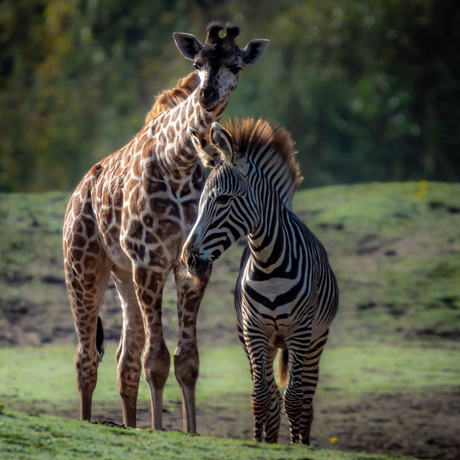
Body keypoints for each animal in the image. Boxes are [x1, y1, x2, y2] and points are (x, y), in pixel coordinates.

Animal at [62, 23, 270, 434]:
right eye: (197, 63)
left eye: (236, 65)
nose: (207, 94)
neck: (178, 162)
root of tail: (77, 195)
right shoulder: (151, 261)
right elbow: (156, 360)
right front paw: (159, 430)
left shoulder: (192, 264)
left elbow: (186, 360)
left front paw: (190, 432)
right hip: (82, 269)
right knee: (86, 358)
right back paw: (89, 422)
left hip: (122, 274)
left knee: (123, 358)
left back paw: (129, 425)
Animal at [182, 119, 338, 446]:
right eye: (200, 202)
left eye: (222, 199)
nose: (188, 259)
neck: (269, 266)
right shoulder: (253, 331)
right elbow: (260, 397)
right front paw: (262, 441)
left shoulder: (300, 331)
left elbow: (294, 399)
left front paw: (296, 446)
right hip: (259, 341)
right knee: (270, 395)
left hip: (316, 340)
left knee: (306, 399)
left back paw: (301, 438)